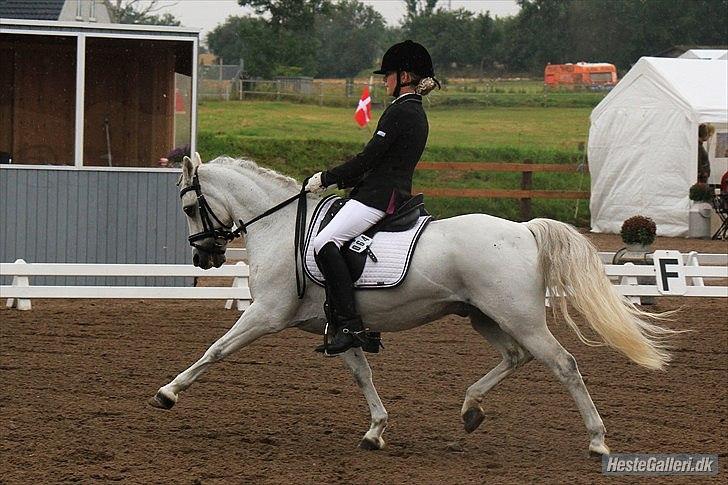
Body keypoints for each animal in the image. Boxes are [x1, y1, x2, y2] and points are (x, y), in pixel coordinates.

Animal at [149, 154, 676, 454]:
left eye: (189, 207)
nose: (205, 257)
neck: (280, 228)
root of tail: (524, 230)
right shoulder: (341, 326)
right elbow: (362, 374)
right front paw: (376, 430)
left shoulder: (265, 315)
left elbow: (215, 350)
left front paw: (168, 393)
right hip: (484, 316)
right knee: (515, 357)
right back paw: (470, 410)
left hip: (520, 316)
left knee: (563, 364)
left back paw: (597, 441)